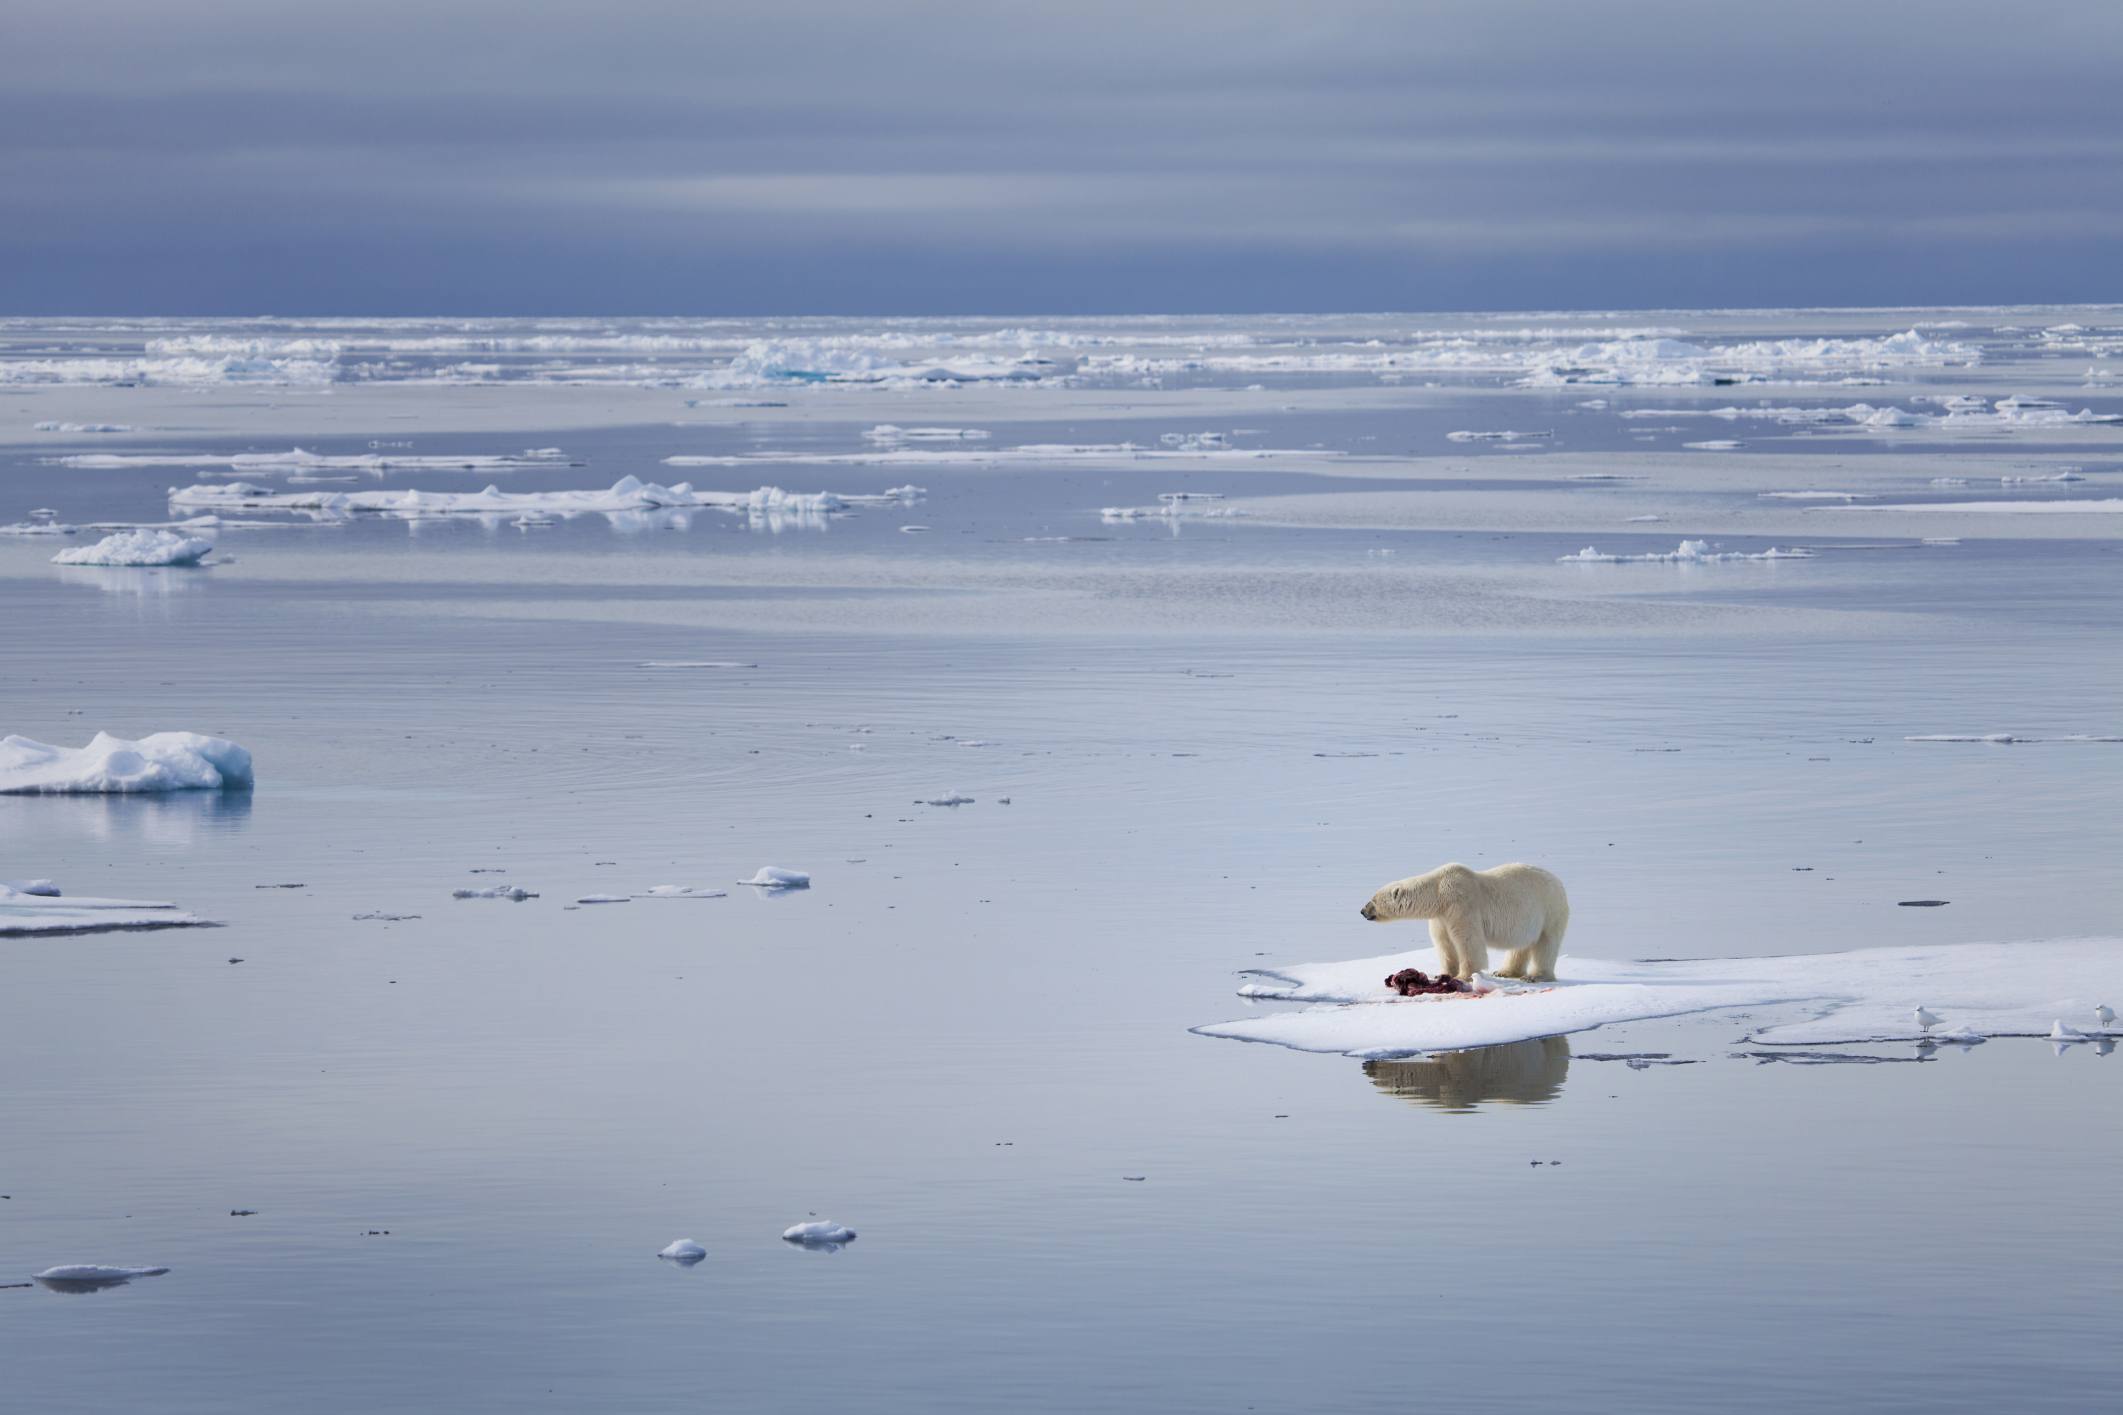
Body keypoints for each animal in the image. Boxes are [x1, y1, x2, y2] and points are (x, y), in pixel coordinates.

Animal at [1350, 865, 1571, 984]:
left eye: (1372, 899)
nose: (1362, 911)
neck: (1438, 891)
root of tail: (1559, 882)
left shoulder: (1460, 903)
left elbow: (1467, 940)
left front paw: (1464, 976)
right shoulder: (1440, 916)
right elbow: (1444, 943)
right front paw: (1444, 973)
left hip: (1550, 910)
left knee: (1546, 944)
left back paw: (1535, 976)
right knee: (1521, 945)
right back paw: (1506, 971)